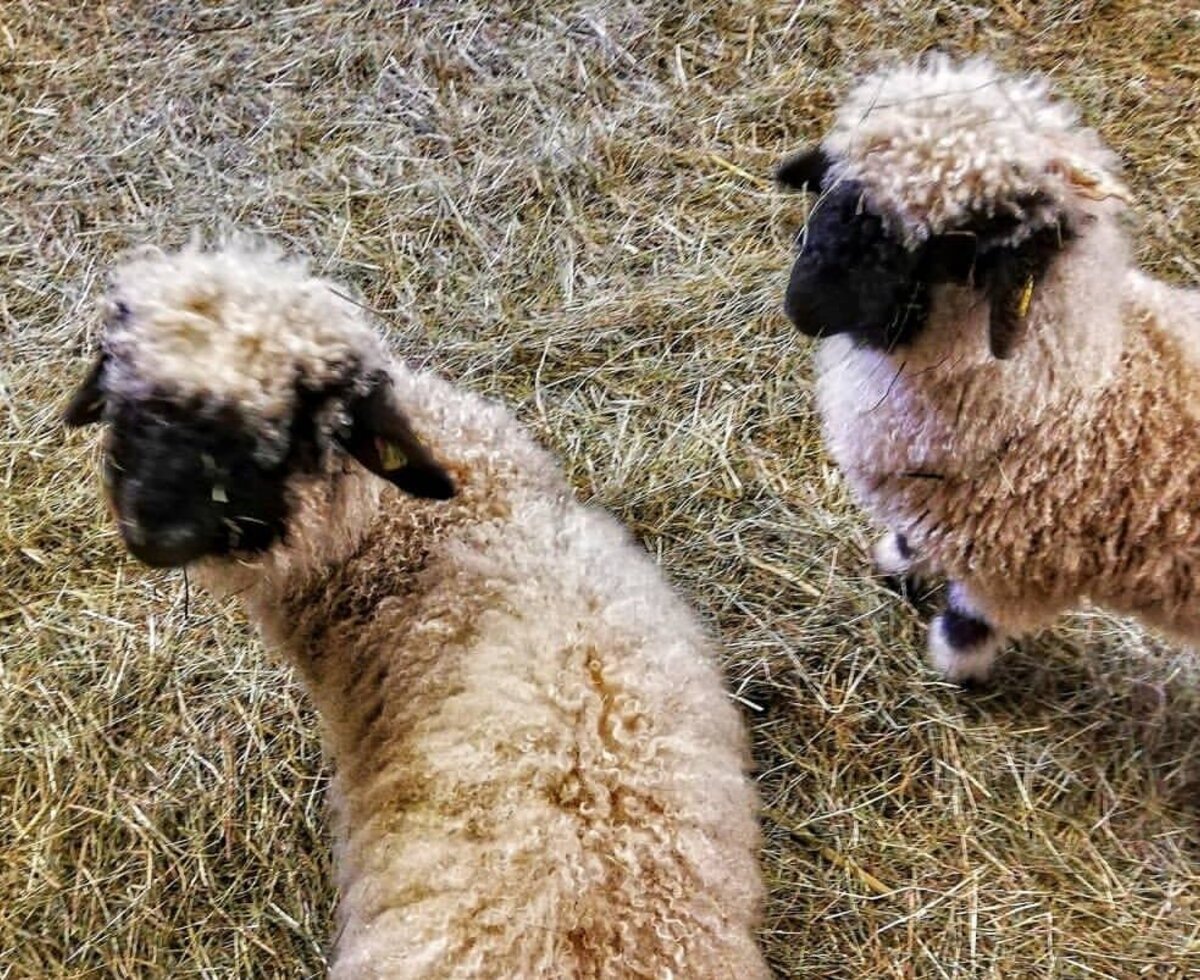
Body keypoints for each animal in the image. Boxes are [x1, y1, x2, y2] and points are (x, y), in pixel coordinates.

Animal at [776, 55, 1200, 683]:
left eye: (956, 248)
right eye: (834, 186)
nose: (805, 304)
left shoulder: (1014, 572)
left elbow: (968, 623)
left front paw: (953, 670)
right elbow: (912, 542)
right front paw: (895, 565)